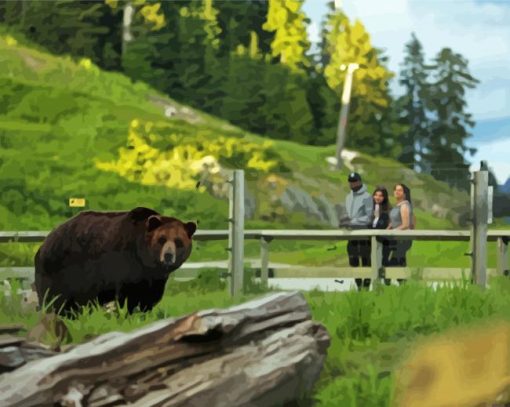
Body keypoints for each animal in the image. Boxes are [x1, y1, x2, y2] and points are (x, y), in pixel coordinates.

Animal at [33, 207, 196, 316]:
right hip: (61, 268)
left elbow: (149, 297)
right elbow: (129, 296)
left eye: (178, 241)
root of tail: (44, 243)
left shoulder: (154, 279)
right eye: (161, 239)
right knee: (53, 299)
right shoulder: (125, 263)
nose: (168, 255)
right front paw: (129, 314)